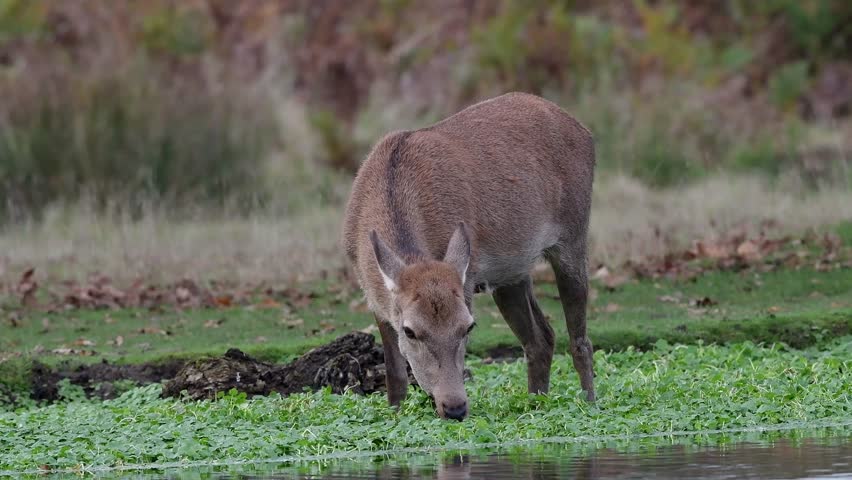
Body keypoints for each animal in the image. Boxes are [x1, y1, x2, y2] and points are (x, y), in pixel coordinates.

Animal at [342, 92, 596, 421]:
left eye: (468, 326)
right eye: (409, 331)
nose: (455, 407)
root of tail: (584, 131)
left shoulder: (468, 276)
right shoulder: (377, 302)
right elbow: (395, 376)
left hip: (574, 235)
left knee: (580, 340)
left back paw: (590, 403)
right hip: (512, 273)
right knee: (541, 337)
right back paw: (535, 404)